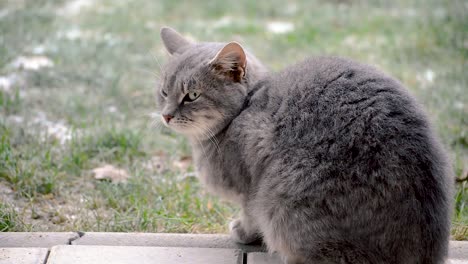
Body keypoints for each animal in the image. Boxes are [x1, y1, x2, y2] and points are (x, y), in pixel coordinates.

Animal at [155, 27, 452, 264]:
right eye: (164, 92)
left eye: (192, 95)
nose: (166, 115)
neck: (245, 107)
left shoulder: (250, 188)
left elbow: (250, 214)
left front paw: (243, 231)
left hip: (282, 201)